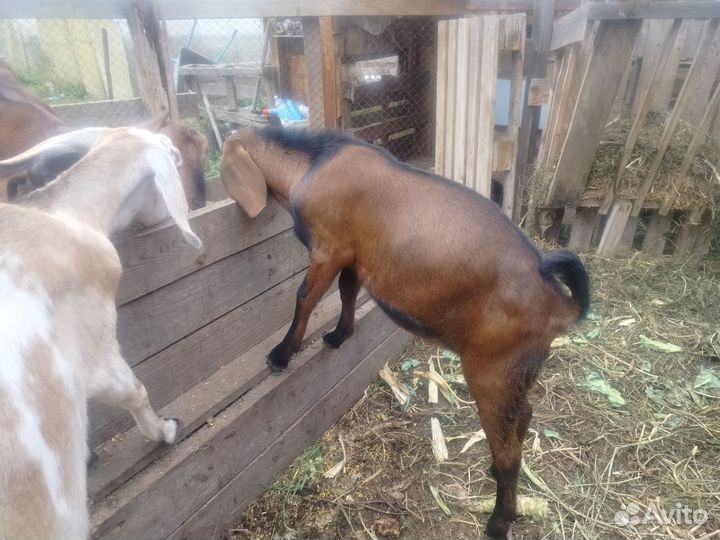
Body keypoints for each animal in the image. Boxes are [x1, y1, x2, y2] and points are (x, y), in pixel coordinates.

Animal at [220, 127, 590, 539]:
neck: (313, 162)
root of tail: (561, 305)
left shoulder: (329, 246)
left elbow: (305, 296)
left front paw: (282, 354)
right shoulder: (355, 255)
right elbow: (348, 290)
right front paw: (339, 335)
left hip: (492, 371)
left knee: (509, 449)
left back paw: (498, 521)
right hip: (518, 372)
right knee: (523, 417)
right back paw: (495, 473)